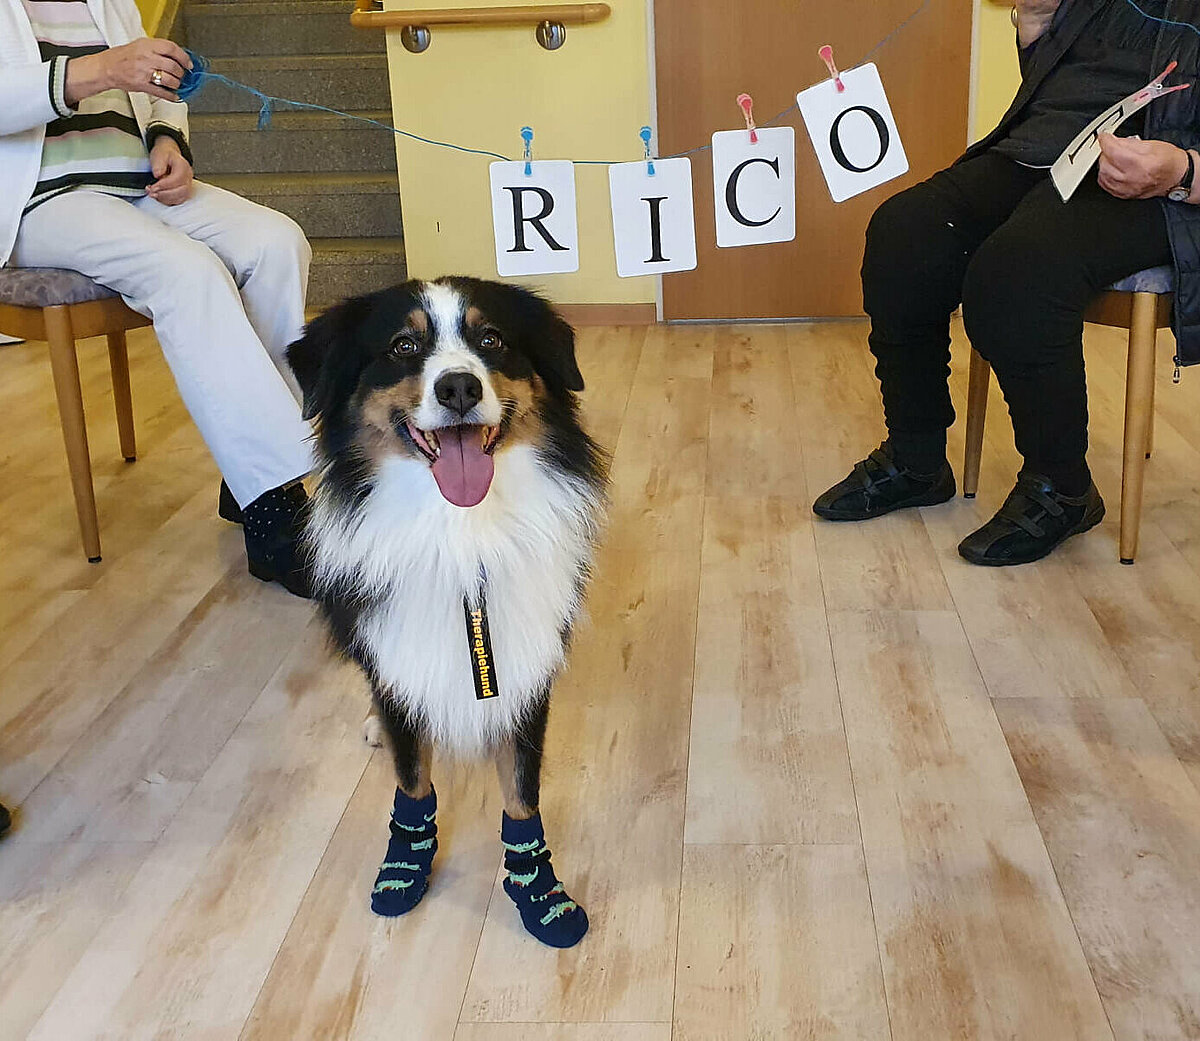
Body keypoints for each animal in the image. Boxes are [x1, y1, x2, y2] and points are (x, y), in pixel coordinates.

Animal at [286, 278, 604, 949]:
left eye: (493, 340)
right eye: (403, 346)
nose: (458, 387)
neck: (459, 536)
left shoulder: (525, 665)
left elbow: (521, 792)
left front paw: (540, 891)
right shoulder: (394, 651)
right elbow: (412, 777)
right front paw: (405, 864)